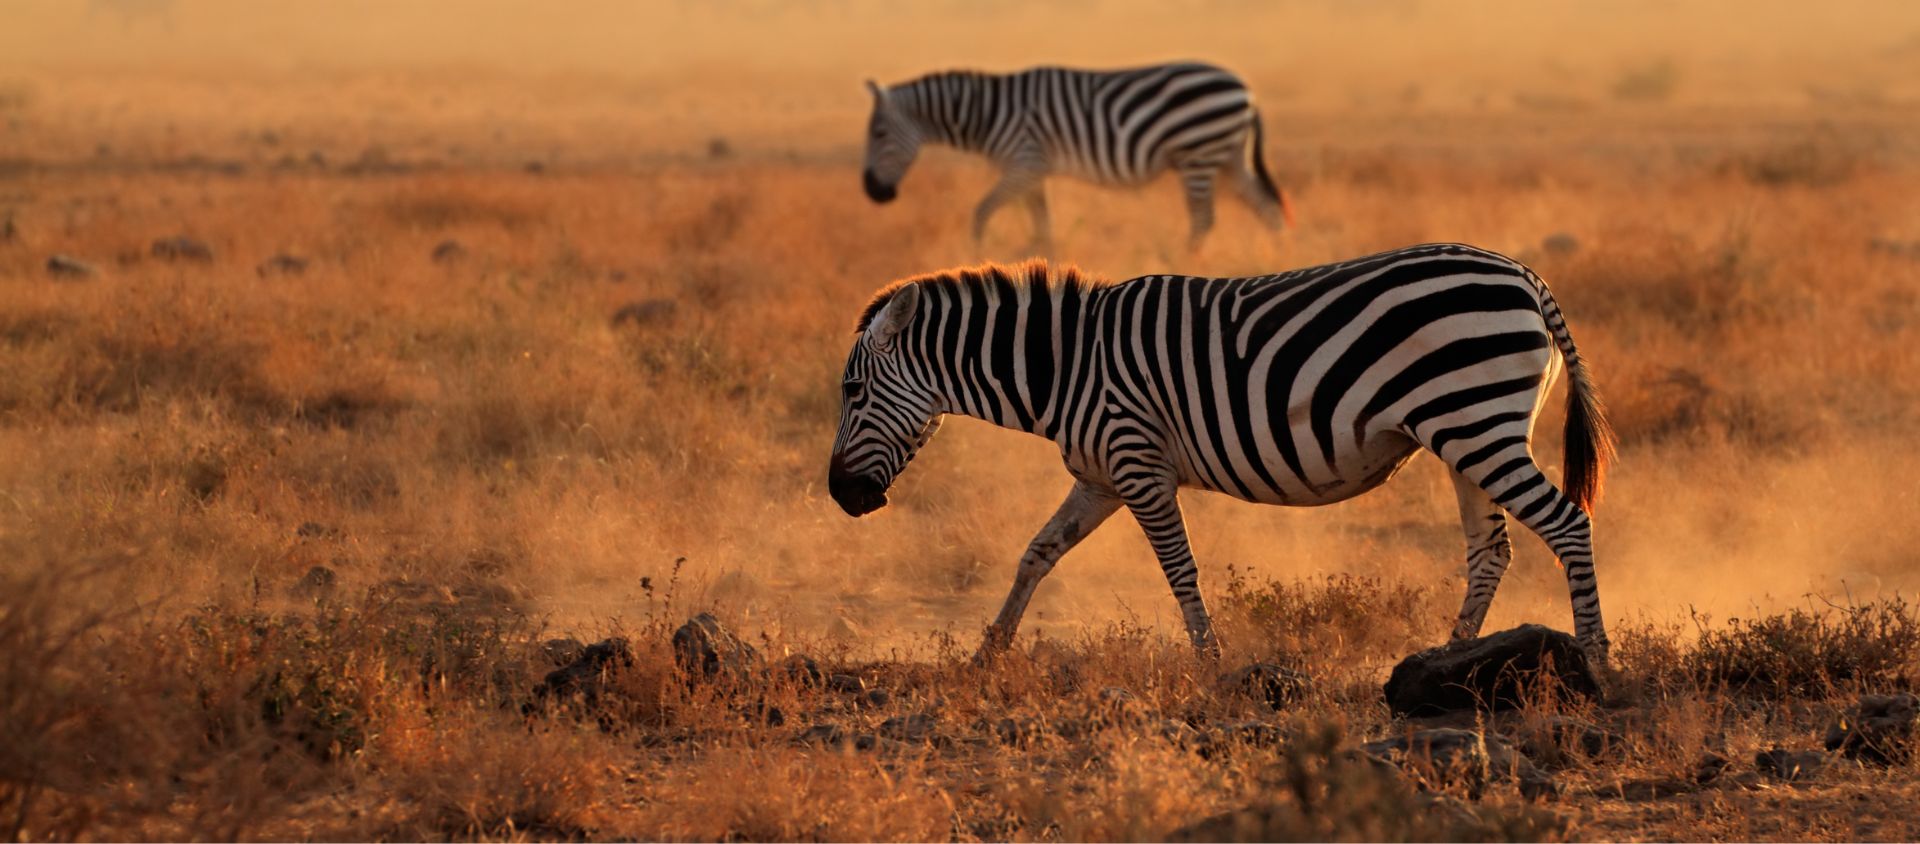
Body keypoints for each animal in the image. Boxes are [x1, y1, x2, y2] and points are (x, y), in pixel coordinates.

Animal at [827, 243, 1617, 666]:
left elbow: (1180, 569)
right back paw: (1447, 658)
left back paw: (1594, 658)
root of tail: (1526, 276)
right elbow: (1036, 554)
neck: (1067, 365)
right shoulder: (1099, 478)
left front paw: (1210, 663)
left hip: (1478, 422)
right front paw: (987, 652)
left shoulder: (1138, 464)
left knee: (1567, 523)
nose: (841, 497)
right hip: (1464, 434)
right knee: (1490, 550)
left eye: (853, 391)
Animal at [861, 62, 1294, 253]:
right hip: (1229, 156)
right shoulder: (1033, 170)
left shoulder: (1026, 161)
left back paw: (1184, 262)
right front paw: (1041, 259)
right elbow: (1042, 221)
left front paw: (977, 255)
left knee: (1204, 219)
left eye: (879, 133)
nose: (872, 193)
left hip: (1199, 153)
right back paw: (1278, 255)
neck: (987, 113)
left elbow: (981, 211)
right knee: (1266, 206)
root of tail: (1247, 89)